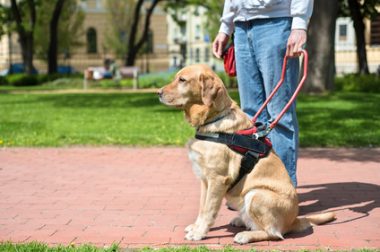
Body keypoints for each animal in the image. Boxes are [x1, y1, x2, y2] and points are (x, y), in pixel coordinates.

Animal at [158, 64, 336, 244]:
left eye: (182, 80)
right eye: (176, 77)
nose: (158, 92)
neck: (214, 119)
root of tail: (294, 220)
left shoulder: (217, 179)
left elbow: (208, 210)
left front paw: (199, 233)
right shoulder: (205, 179)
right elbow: (202, 208)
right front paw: (196, 227)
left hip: (256, 194)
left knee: (274, 234)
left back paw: (245, 235)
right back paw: (241, 221)